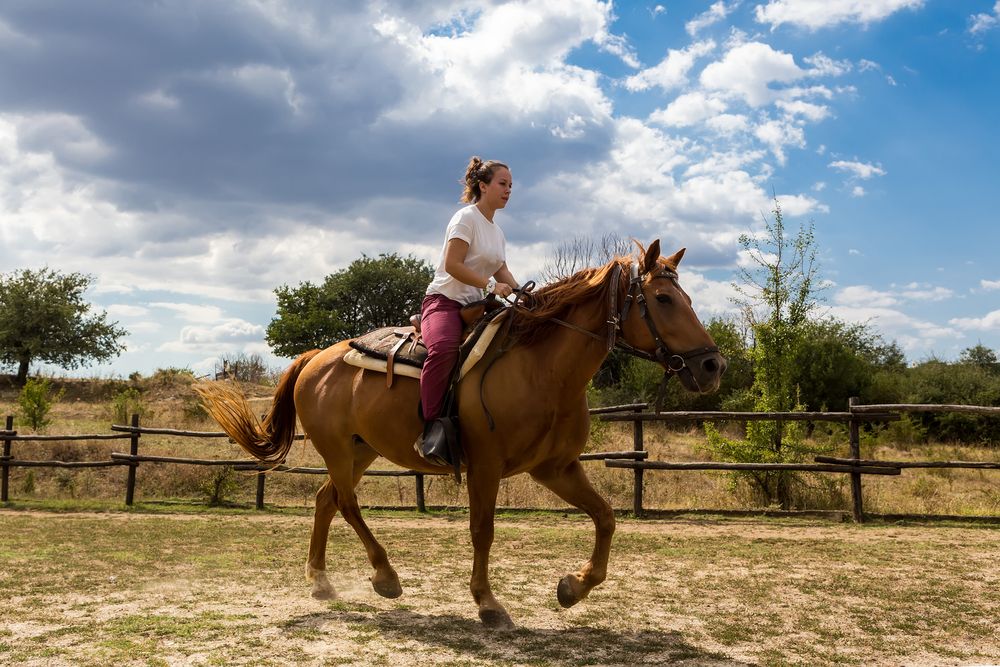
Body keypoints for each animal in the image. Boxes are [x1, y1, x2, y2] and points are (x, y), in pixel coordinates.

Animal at [195, 240, 726, 630]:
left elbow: (606, 517)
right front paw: (489, 604)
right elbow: (482, 530)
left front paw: (573, 587)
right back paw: (385, 576)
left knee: (327, 500)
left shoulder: (555, 468)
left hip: (360, 451)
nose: (712, 366)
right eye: (663, 299)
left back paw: (322, 582)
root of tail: (315, 358)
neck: (542, 368)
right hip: (337, 449)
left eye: (687, 298)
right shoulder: (486, 468)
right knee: (345, 503)